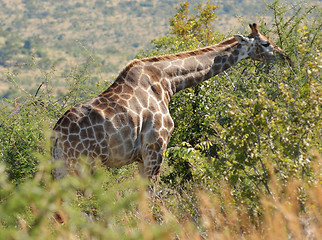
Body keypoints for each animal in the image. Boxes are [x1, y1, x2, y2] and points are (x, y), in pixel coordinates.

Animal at [52, 24, 290, 181]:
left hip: (62, 166)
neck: (167, 83)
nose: (285, 57)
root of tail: (56, 134)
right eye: (265, 43)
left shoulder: (143, 157)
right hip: (84, 165)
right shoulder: (155, 148)